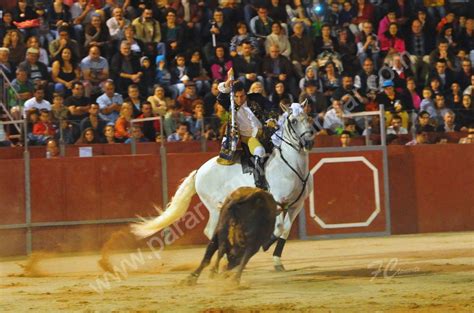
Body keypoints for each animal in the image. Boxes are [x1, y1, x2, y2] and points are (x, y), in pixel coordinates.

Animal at [131, 102, 314, 268]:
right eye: (294, 121)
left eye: (308, 117)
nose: (309, 142)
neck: (290, 165)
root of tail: (199, 170)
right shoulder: (277, 201)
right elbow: (278, 228)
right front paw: (265, 244)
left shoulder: (296, 205)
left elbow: (285, 230)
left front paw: (277, 261)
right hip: (214, 207)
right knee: (211, 230)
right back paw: (226, 259)